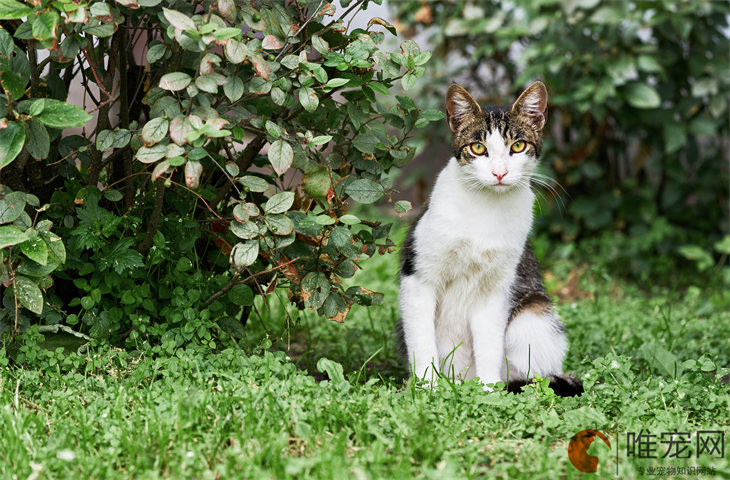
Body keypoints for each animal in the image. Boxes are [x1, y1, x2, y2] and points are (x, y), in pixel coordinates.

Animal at [398, 83, 580, 398]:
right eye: (478, 148)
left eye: (517, 146)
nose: (499, 172)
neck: (485, 209)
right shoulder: (417, 278)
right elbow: (422, 341)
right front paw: (427, 388)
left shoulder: (496, 288)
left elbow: (490, 343)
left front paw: (488, 392)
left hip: (535, 314)